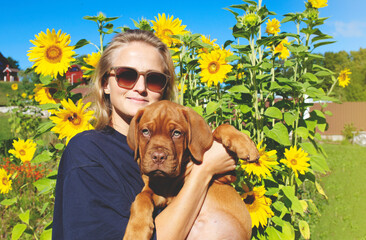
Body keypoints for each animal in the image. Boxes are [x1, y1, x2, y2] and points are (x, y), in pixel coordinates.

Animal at [124, 100, 258, 239]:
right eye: (145, 131)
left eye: (176, 133)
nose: (158, 157)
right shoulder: (158, 192)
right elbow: (141, 197)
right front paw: (136, 231)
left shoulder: (226, 176)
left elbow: (220, 128)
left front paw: (244, 143)